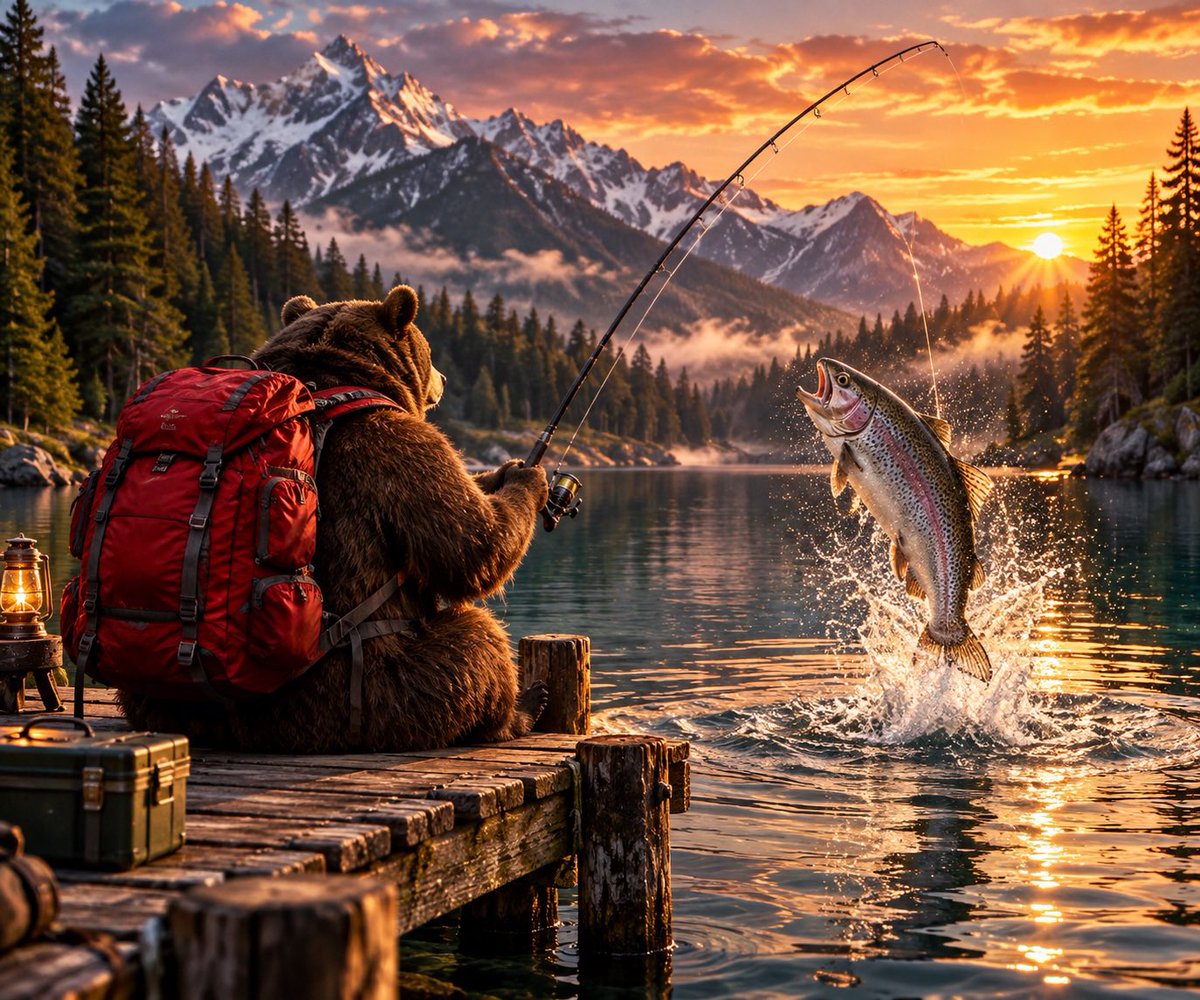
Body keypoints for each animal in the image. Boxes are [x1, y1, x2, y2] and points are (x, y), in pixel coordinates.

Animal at [117, 285, 551, 752]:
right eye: (430, 350)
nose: (444, 379)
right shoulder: (397, 450)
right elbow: (467, 546)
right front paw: (528, 478)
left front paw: (504, 471)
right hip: (378, 691)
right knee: (476, 643)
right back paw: (524, 705)